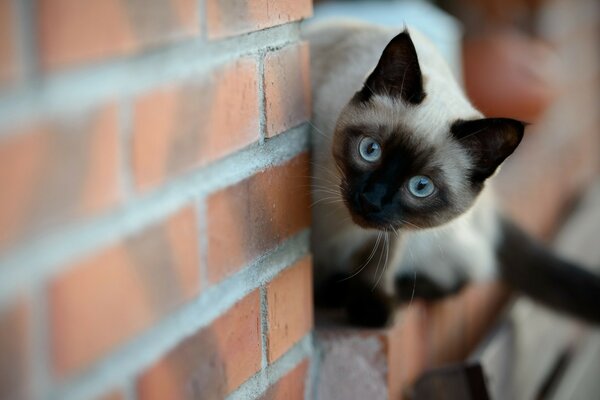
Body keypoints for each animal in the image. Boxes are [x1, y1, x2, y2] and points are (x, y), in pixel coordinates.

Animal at [304, 20, 600, 328]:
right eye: (370, 150)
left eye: (421, 186)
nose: (371, 200)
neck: (340, 222)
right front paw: (319, 297)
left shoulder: (395, 229)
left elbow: (378, 263)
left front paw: (371, 311)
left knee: (465, 276)